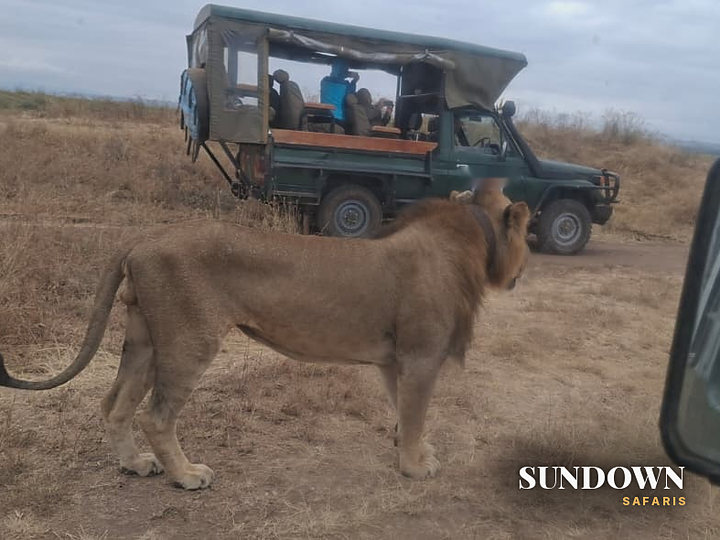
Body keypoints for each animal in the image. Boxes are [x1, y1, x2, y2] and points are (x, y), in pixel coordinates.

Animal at [0, 179, 529, 490]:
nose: (524, 270)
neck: (469, 240)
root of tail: (146, 236)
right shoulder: (420, 355)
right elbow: (416, 412)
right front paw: (416, 467)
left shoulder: (391, 360)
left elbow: (402, 410)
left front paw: (410, 450)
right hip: (190, 339)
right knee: (155, 415)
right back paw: (186, 476)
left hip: (146, 337)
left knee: (115, 404)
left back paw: (134, 464)